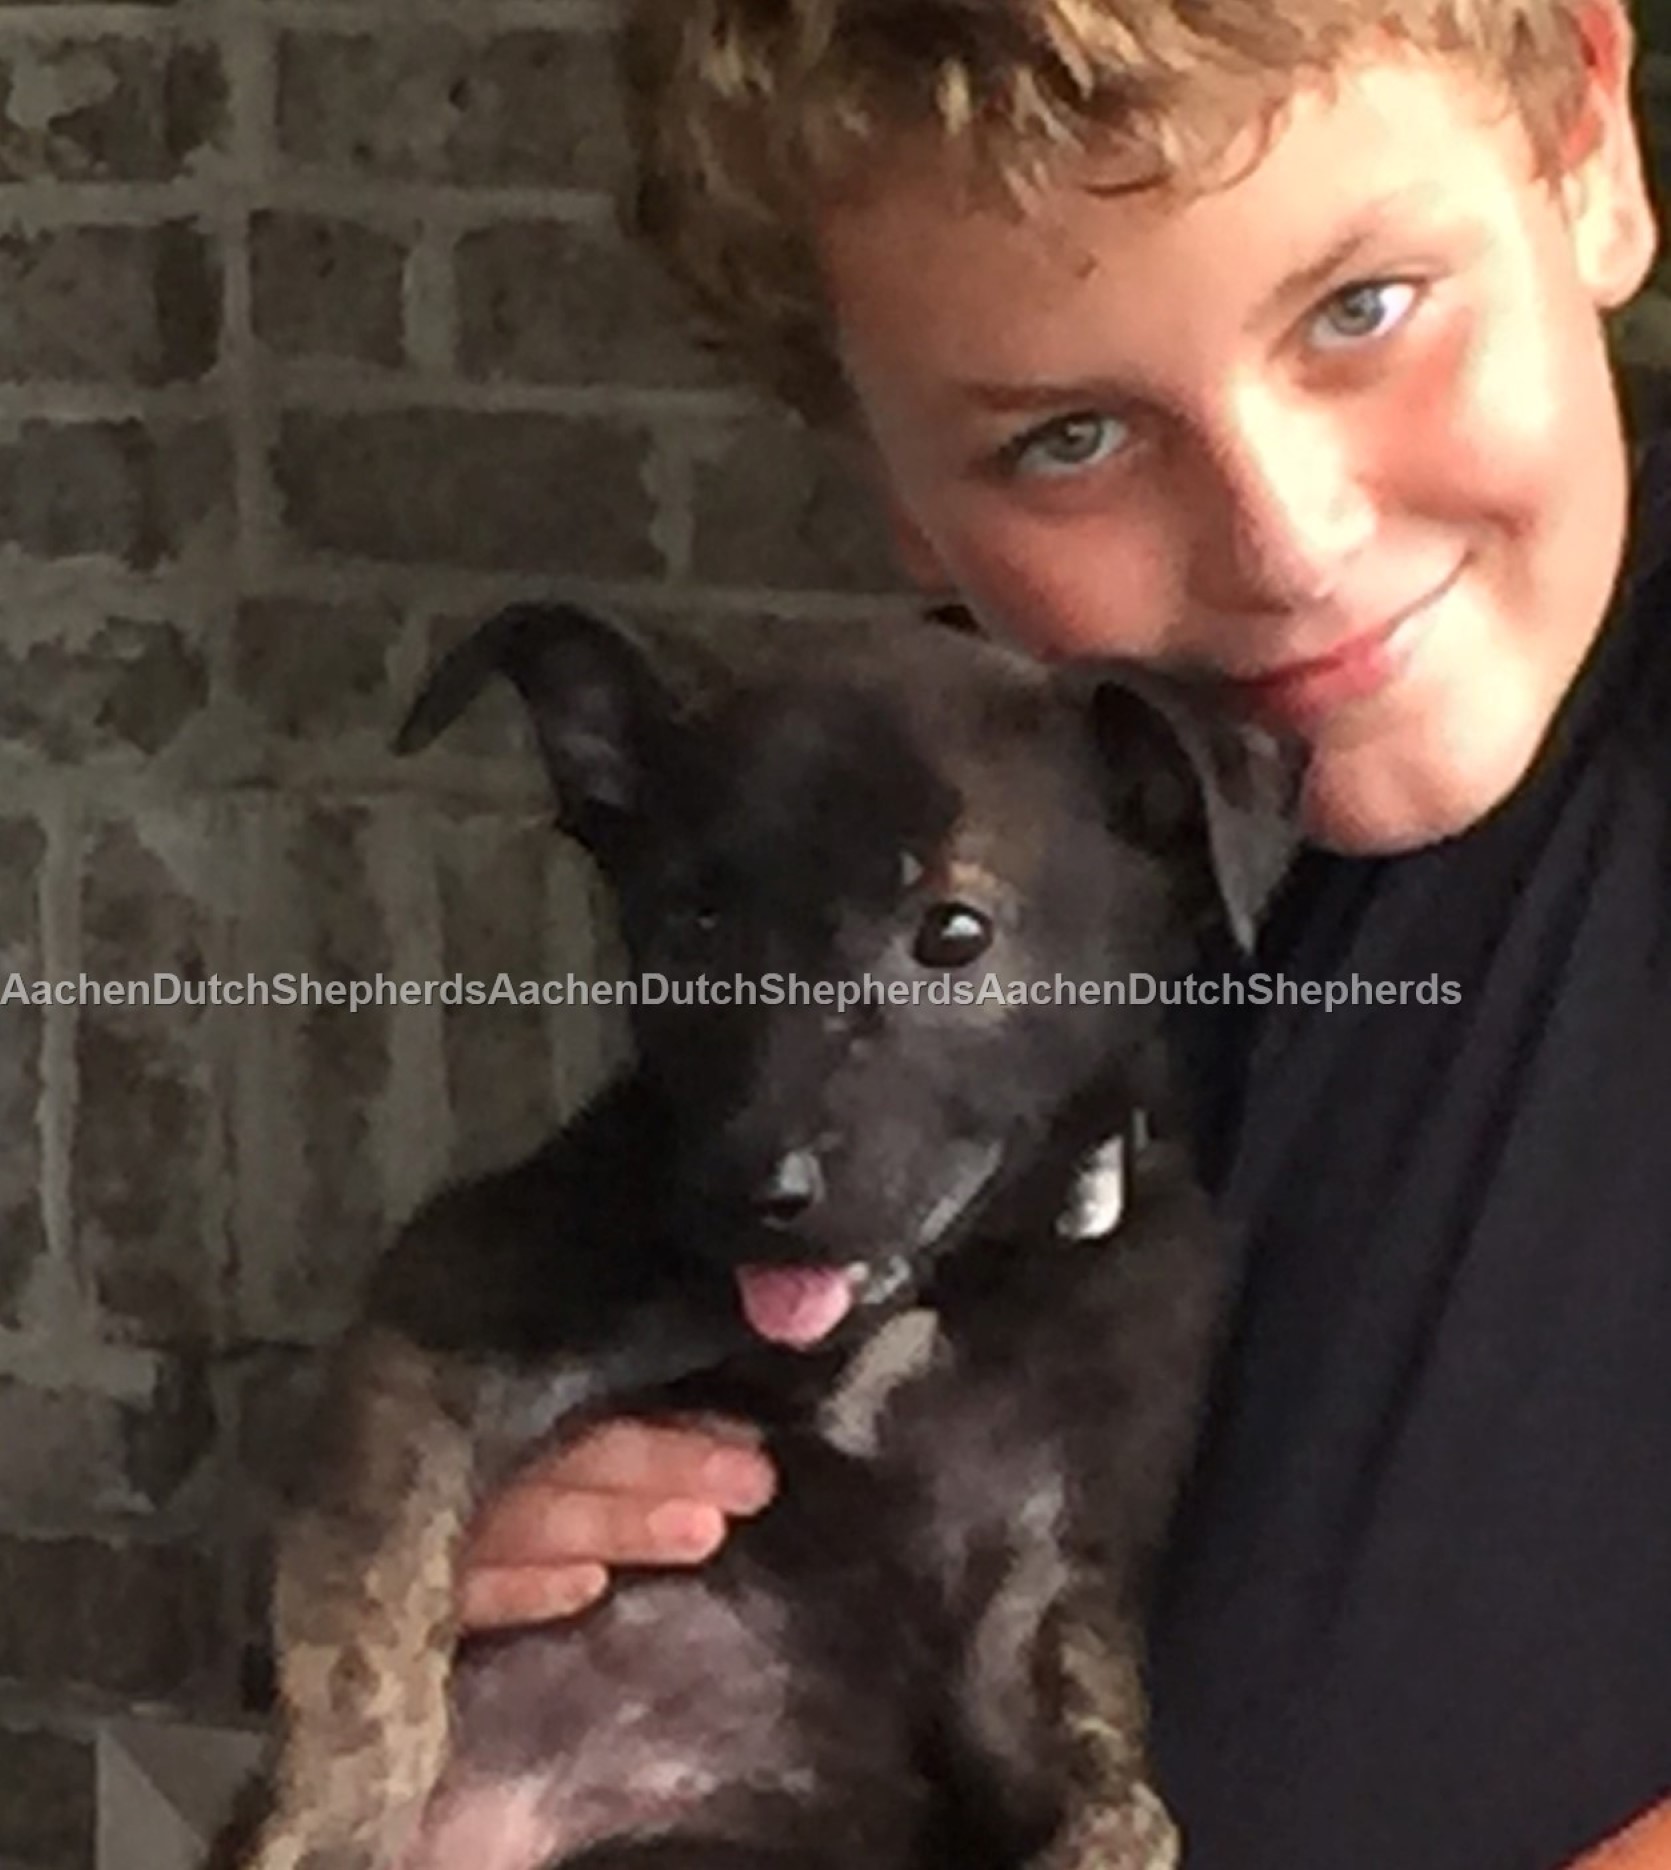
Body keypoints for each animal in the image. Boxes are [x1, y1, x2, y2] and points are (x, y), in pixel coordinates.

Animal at [226, 609, 1293, 1870]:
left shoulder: (1037, 1587)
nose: (751, 1189)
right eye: (694, 921)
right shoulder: (442, 1322)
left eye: (954, 931)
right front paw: (336, 1823)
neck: (929, 1299)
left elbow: (1121, 1784)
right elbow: (367, 1630)